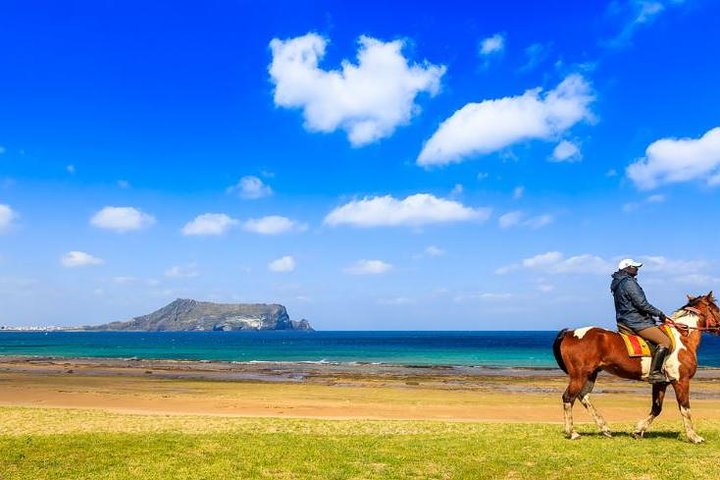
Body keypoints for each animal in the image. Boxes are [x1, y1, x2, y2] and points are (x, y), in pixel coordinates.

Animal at [553, 292, 720, 443]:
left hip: (591, 374)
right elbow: (685, 408)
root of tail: (569, 333)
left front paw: (638, 430)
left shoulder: (661, 383)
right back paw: (572, 433)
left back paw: (604, 428)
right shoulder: (681, 381)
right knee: (568, 398)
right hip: (579, 375)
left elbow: (656, 408)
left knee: (583, 396)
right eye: (717, 309)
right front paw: (694, 437)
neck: (683, 337)